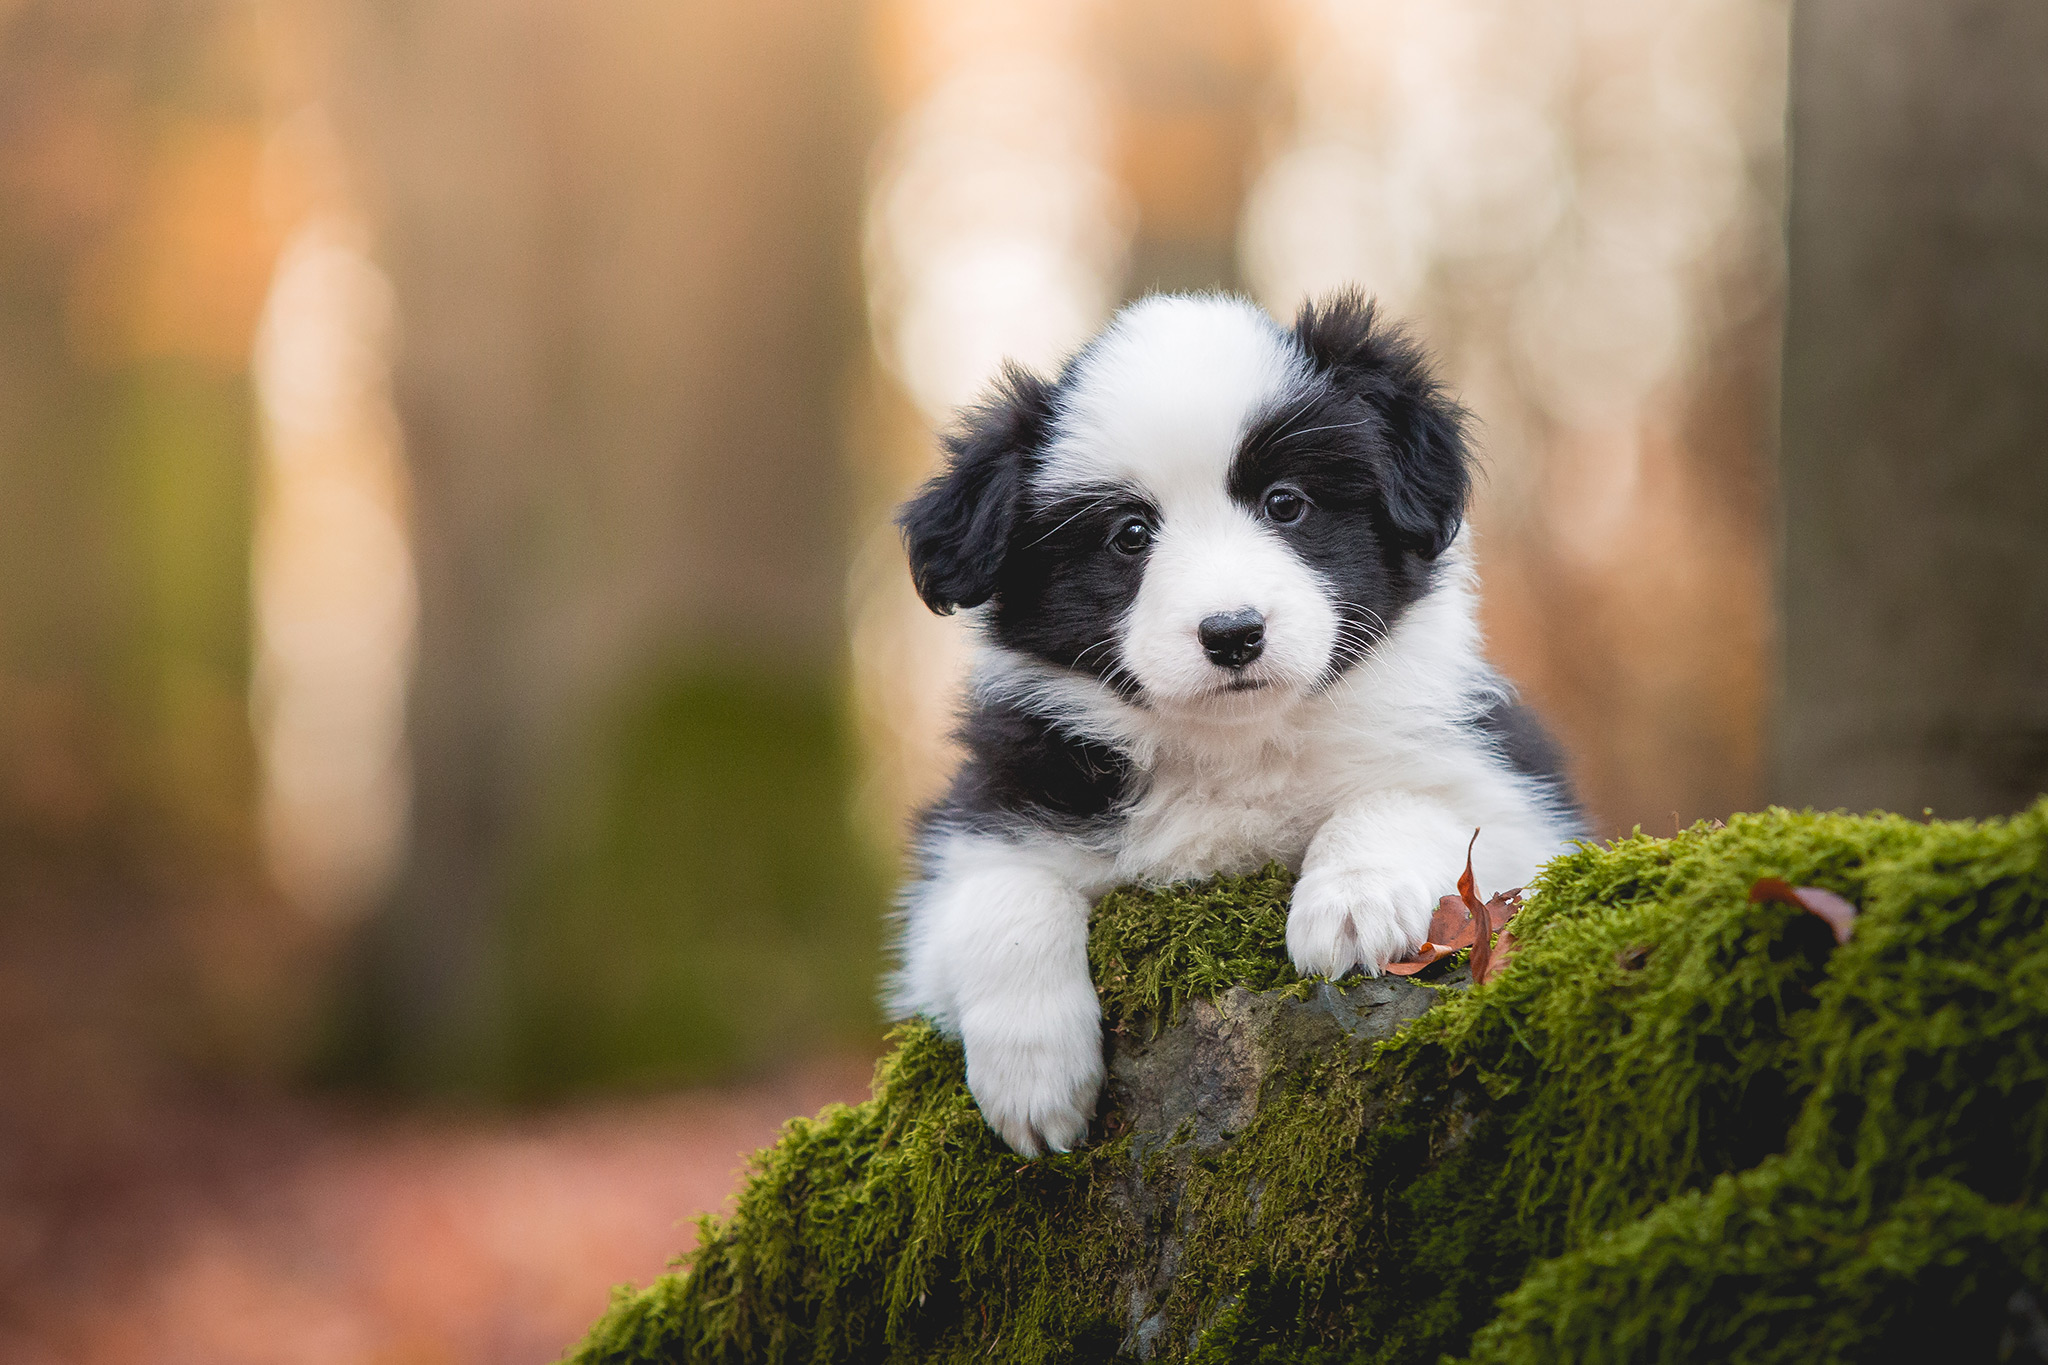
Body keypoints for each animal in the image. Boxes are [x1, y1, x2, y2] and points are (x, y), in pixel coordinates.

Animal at [888, 288, 1572, 1154]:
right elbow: (1001, 894)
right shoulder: (989, 816)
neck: (1235, 743)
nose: (1233, 632)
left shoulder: (1517, 796)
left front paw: (1352, 904)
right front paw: (1034, 1080)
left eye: (1286, 503)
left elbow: (1408, 801)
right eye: (1130, 535)